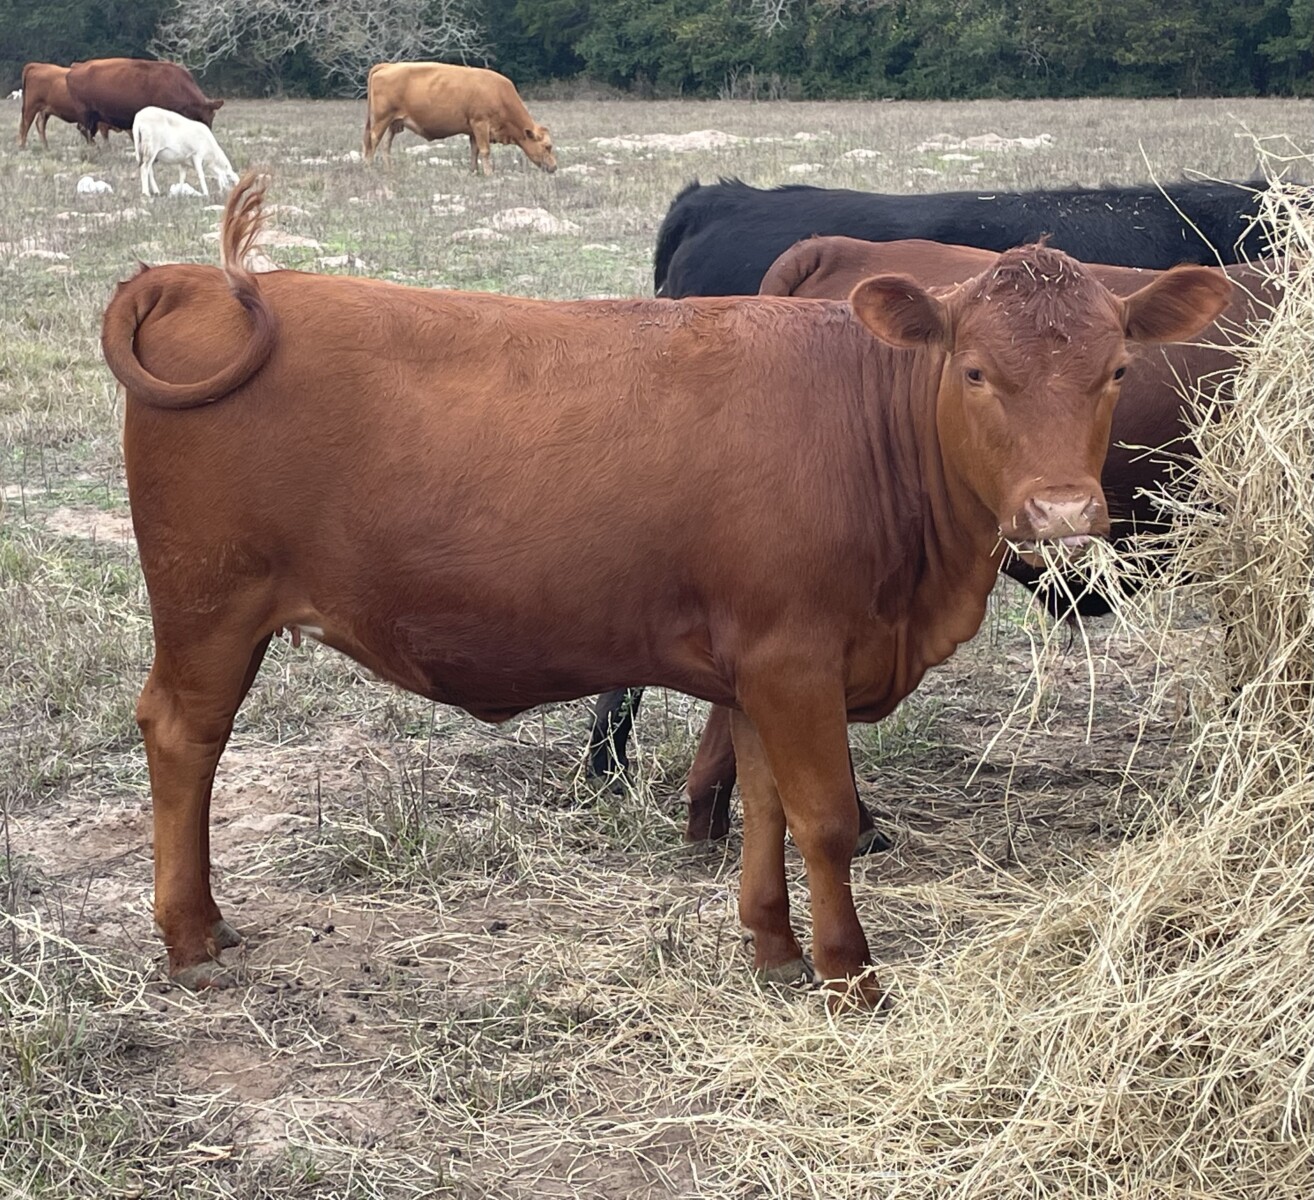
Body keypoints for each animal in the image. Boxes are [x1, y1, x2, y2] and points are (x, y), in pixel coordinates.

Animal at [66, 58, 222, 141]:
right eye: (205, 117)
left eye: (213, 117)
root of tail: (75, 68)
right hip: (87, 115)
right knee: (85, 131)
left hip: (94, 117)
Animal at [363, 62, 556, 174]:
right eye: (547, 146)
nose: (554, 167)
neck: (499, 94)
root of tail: (388, 65)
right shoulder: (480, 123)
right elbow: (485, 151)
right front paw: (489, 174)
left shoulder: (473, 129)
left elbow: (474, 150)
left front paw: (473, 171)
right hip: (381, 120)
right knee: (372, 142)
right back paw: (370, 168)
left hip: (394, 122)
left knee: (386, 144)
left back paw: (389, 169)